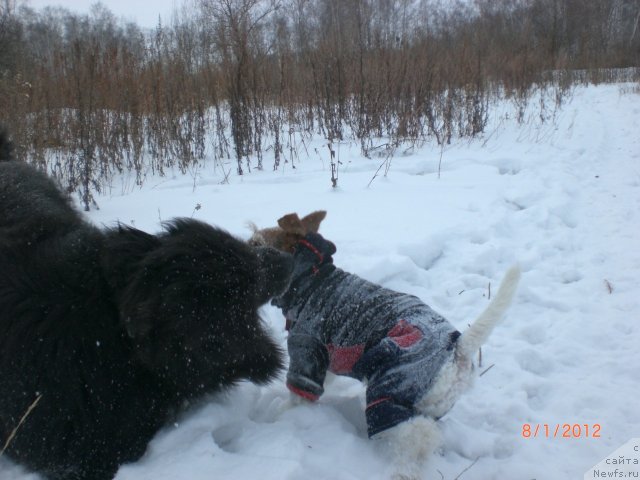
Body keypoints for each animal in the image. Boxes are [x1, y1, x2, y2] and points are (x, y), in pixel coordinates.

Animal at [249, 211, 520, 480]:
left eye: (257, 243)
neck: (312, 278)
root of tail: (458, 346)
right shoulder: (325, 360)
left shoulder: (307, 352)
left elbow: (299, 395)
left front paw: (281, 416)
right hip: (423, 402)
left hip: (389, 393)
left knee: (417, 434)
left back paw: (400, 472)